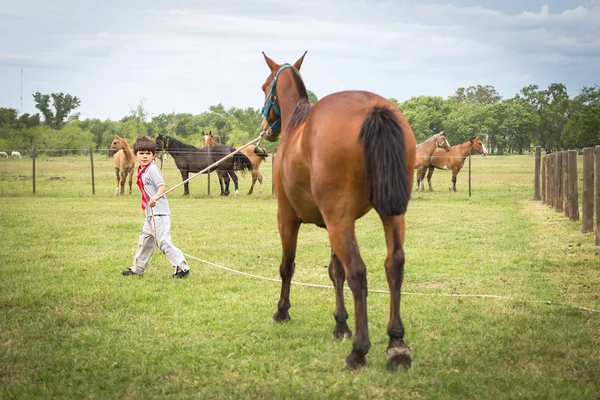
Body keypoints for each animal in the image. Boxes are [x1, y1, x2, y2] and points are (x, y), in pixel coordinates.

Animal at [260, 51, 420, 370]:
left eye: (264, 87)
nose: (266, 128)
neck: (298, 127)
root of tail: (375, 108)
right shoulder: (333, 222)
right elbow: (336, 272)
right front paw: (341, 324)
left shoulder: (288, 218)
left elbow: (287, 267)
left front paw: (282, 311)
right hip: (387, 217)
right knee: (394, 265)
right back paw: (396, 344)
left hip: (338, 222)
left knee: (358, 272)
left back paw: (359, 351)